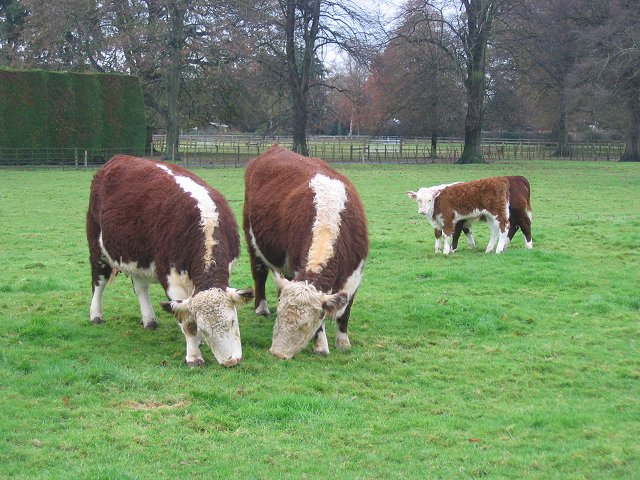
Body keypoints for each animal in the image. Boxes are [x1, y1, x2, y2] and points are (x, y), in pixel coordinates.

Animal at [87, 156, 252, 366]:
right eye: (205, 329)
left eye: (232, 321)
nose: (231, 361)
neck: (205, 224)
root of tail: (119, 158)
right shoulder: (172, 279)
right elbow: (188, 322)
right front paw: (194, 355)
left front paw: (198, 343)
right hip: (97, 249)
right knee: (98, 282)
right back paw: (96, 315)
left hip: (138, 258)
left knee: (140, 288)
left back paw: (149, 320)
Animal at [241, 144, 370, 358]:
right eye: (280, 318)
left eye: (305, 325)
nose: (277, 353)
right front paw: (321, 346)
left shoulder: (355, 274)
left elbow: (345, 311)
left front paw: (343, 342)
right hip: (252, 241)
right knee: (259, 273)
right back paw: (262, 308)